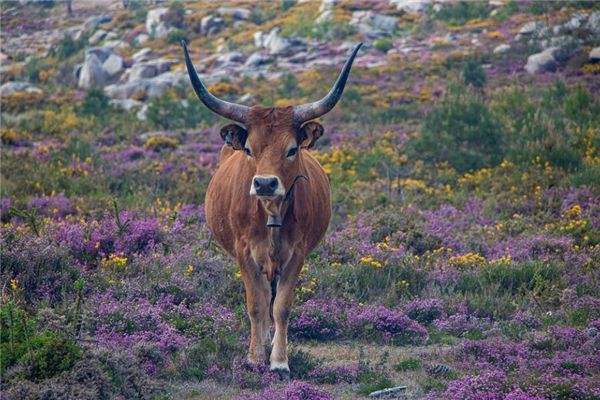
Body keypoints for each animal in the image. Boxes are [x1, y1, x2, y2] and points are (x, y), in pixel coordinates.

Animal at [182, 40, 360, 376]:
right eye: (249, 149)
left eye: (291, 150)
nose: (265, 183)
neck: (272, 213)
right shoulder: (244, 251)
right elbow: (256, 304)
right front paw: (255, 357)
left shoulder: (297, 253)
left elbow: (282, 306)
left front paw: (278, 361)